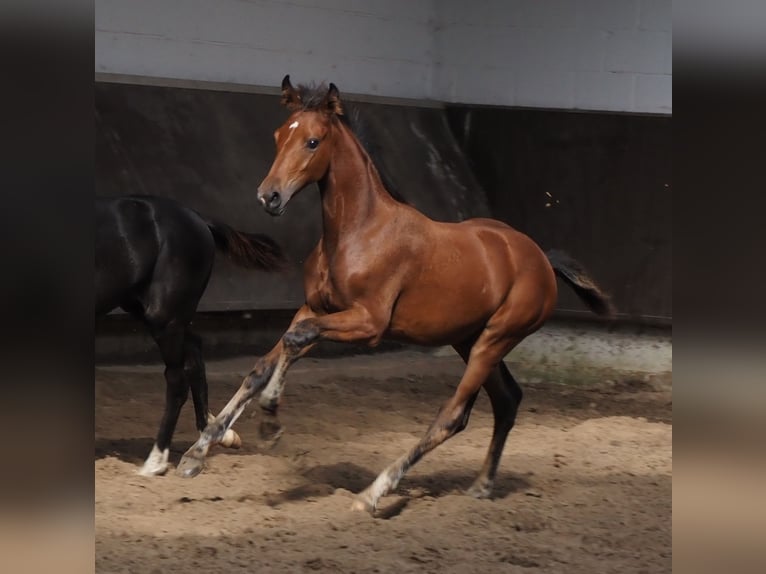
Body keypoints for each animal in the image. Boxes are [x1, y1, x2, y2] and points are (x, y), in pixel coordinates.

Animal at [96, 197, 286, 476]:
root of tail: (199, 219)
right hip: (155, 312)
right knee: (195, 352)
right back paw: (215, 436)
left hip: (164, 317)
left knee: (177, 382)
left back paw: (156, 462)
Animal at [177, 76, 616, 512]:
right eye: (278, 135)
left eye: (313, 142)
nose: (268, 196)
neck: (358, 231)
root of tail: (541, 258)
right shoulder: (315, 309)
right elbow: (266, 362)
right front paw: (197, 452)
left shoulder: (368, 324)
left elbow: (294, 341)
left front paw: (270, 421)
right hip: (468, 339)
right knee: (507, 399)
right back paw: (481, 486)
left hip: (495, 339)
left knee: (453, 415)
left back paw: (375, 492)